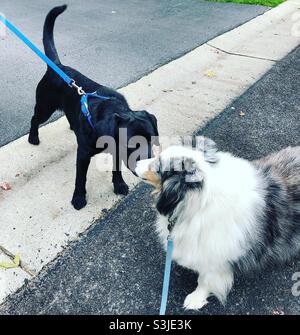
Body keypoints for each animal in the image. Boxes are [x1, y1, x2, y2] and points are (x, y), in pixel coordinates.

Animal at [28, 4, 159, 210]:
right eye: (132, 144)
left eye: (153, 141)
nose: (152, 168)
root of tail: (56, 66)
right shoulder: (83, 154)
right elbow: (80, 178)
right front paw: (78, 198)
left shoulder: (116, 151)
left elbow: (116, 169)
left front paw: (119, 184)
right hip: (44, 107)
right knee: (34, 119)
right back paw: (33, 137)